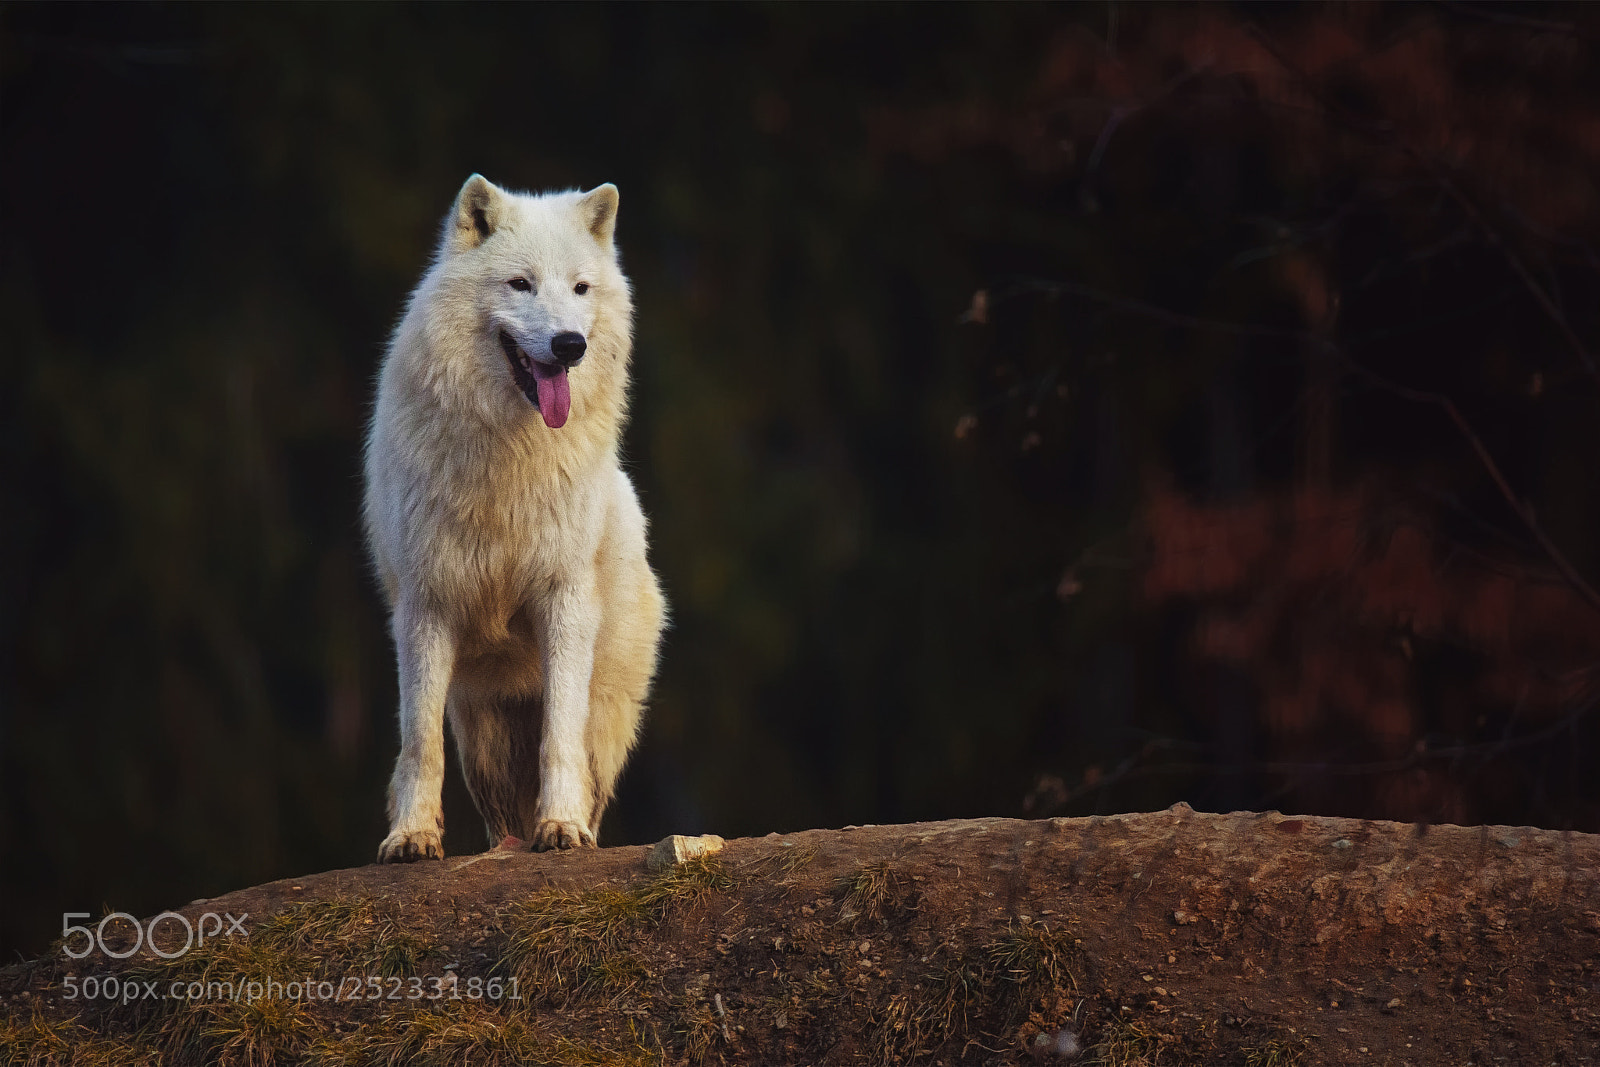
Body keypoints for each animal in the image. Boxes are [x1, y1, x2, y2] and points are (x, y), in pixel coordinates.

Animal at [364, 175, 665, 862]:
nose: (569, 345)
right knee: (495, 812)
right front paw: (411, 836)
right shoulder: (426, 606)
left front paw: (562, 828)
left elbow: (560, 736)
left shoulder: (565, 599)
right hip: (484, 738)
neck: (508, 462)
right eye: (520, 284)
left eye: (580, 288)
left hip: (604, 717)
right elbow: (419, 742)